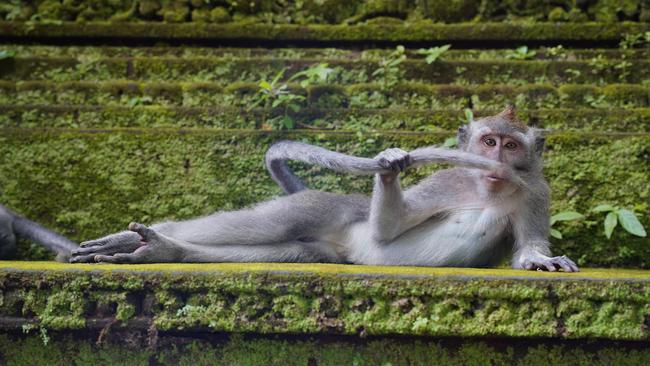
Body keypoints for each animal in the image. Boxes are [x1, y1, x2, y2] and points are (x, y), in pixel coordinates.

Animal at [0, 106, 576, 272]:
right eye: (487, 141)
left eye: (510, 144)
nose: (496, 162)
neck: (488, 188)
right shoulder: (447, 180)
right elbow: (389, 232)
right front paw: (391, 164)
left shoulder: (535, 192)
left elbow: (528, 244)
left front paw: (539, 259)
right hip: (324, 207)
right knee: (272, 222)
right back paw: (142, 238)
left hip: (325, 250)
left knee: (288, 247)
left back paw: (163, 249)